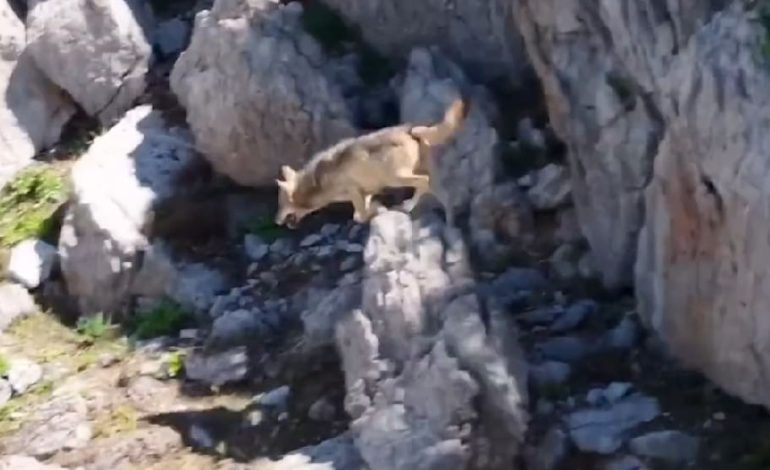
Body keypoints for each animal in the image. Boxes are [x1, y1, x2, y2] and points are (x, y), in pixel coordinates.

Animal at [274, 97, 467, 228]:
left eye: (281, 204)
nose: (275, 220)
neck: (317, 182)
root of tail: (411, 130)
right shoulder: (365, 193)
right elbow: (359, 215)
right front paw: (377, 209)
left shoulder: (354, 190)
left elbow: (362, 215)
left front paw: (379, 210)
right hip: (421, 177)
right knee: (444, 194)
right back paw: (450, 224)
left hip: (396, 179)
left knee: (423, 183)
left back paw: (407, 206)